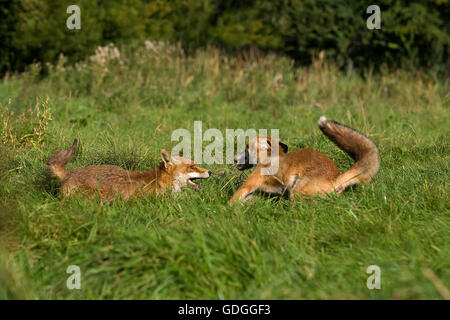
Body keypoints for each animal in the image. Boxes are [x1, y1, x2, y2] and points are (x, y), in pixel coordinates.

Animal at [229, 115, 380, 205]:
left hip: (296, 190)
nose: (234, 159)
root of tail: (336, 178)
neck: (270, 158)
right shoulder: (264, 193)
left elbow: (231, 202)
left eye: (247, 147)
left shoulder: (249, 184)